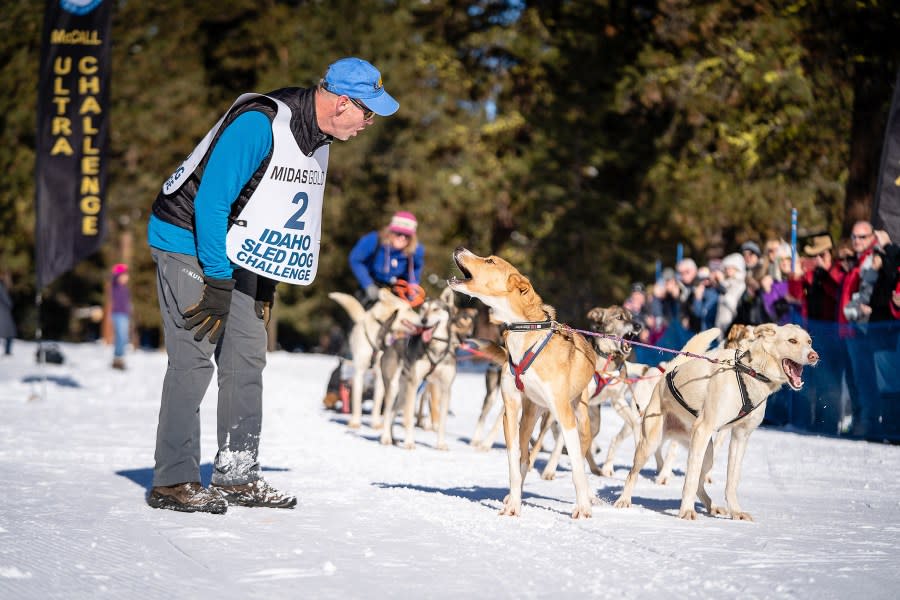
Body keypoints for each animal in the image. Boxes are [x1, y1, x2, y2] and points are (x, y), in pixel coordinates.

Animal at [448, 246, 600, 516]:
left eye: (490, 261)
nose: (459, 248)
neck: (526, 331)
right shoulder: (510, 410)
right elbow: (514, 463)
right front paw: (514, 504)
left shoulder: (564, 414)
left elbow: (576, 466)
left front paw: (582, 507)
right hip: (528, 416)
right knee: (525, 458)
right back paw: (512, 497)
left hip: (580, 418)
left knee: (580, 455)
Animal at [616, 324, 820, 520]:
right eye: (792, 341)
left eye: (809, 342)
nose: (814, 356)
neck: (751, 372)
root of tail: (666, 374)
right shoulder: (704, 429)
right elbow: (690, 480)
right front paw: (686, 511)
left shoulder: (740, 436)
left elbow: (732, 481)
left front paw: (736, 511)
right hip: (652, 443)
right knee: (633, 474)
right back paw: (624, 500)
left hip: (707, 454)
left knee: (700, 482)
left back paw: (712, 506)